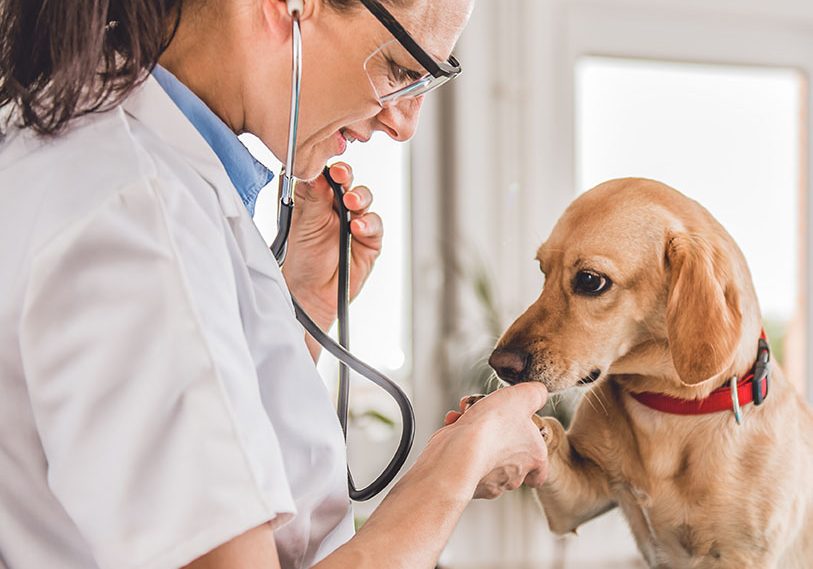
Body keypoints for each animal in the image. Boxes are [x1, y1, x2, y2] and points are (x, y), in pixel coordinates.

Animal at [486, 179, 813, 568]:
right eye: (542, 270)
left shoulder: (741, 555)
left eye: (590, 281)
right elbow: (551, 432)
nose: (499, 364)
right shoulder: (576, 502)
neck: (668, 407)